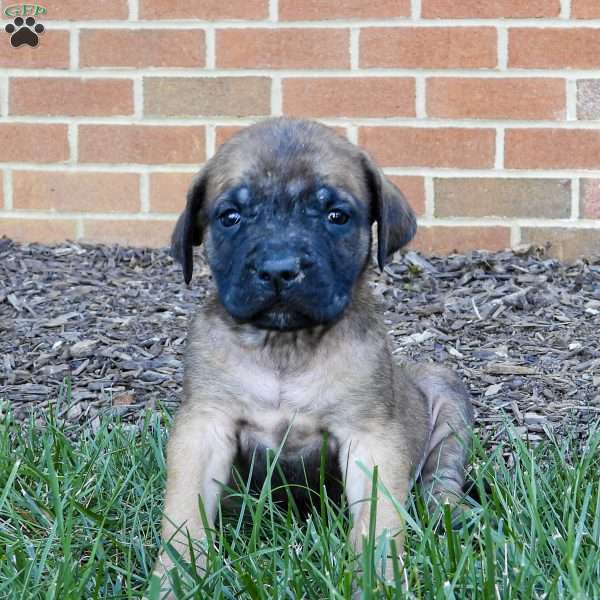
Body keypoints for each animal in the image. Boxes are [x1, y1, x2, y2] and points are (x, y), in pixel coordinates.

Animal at [155, 117, 474, 592]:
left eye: (335, 215)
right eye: (230, 217)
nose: (278, 269)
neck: (285, 345)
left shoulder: (370, 438)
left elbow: (378, 522)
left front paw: (378, 581)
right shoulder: (204, 427)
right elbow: (183, 513)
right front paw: (176, 578)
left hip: (445, 390)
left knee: (443, 475)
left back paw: (451, 512)